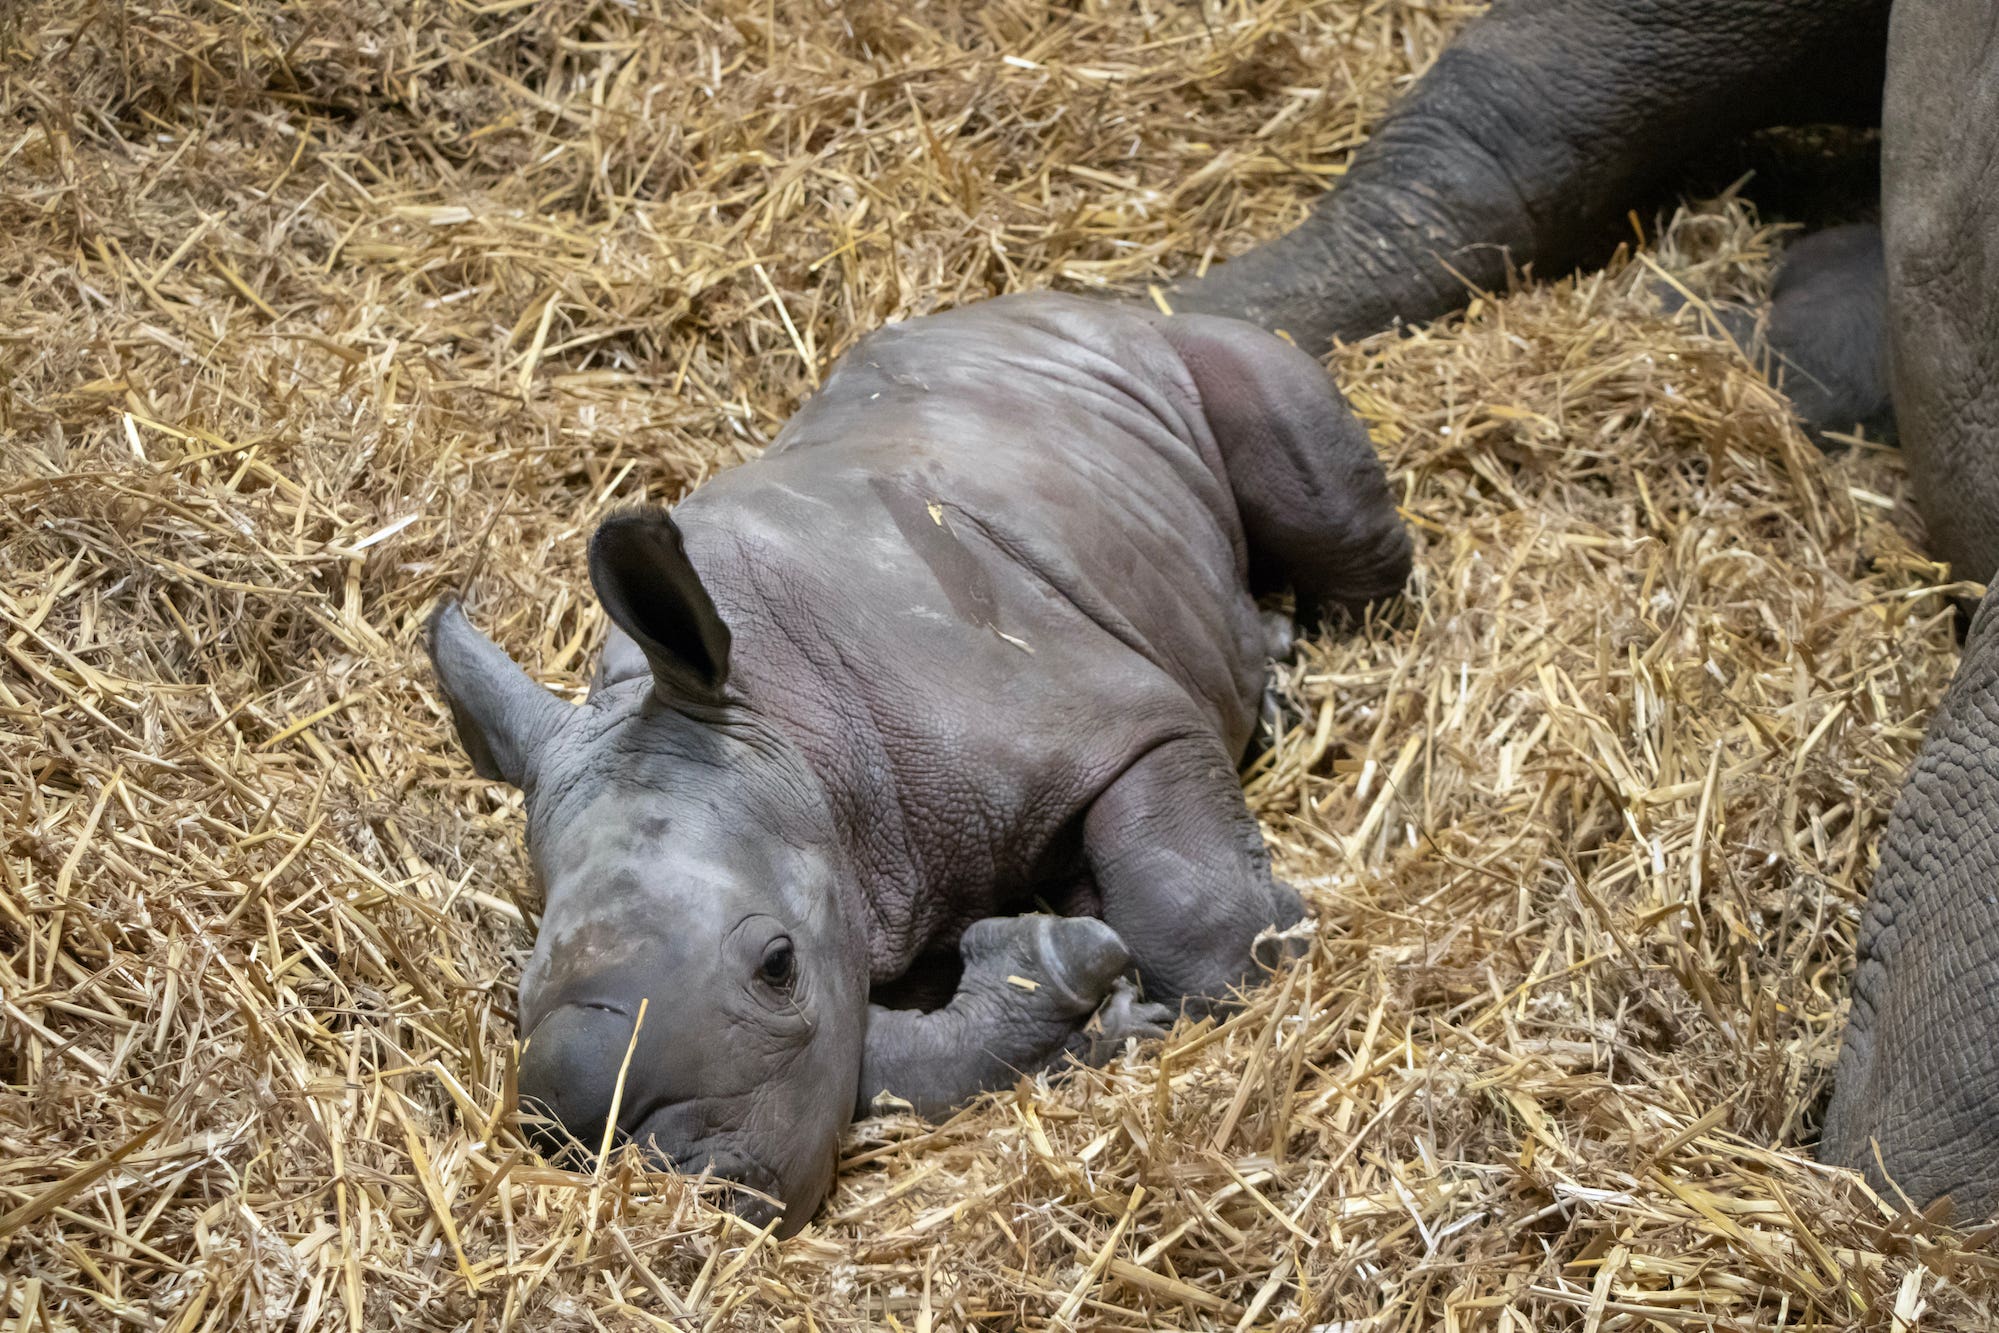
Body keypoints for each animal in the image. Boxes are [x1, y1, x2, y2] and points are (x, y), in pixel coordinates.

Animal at [429, 289, 1415, 1231]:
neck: (778, 718)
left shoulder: (1116, 724)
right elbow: (872, 1061)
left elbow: (1194, 917)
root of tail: (1099, 301)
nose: (698, 1190)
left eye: (777, 964)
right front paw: (1093, 1004)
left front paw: (1264, 939)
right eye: (519, 999)